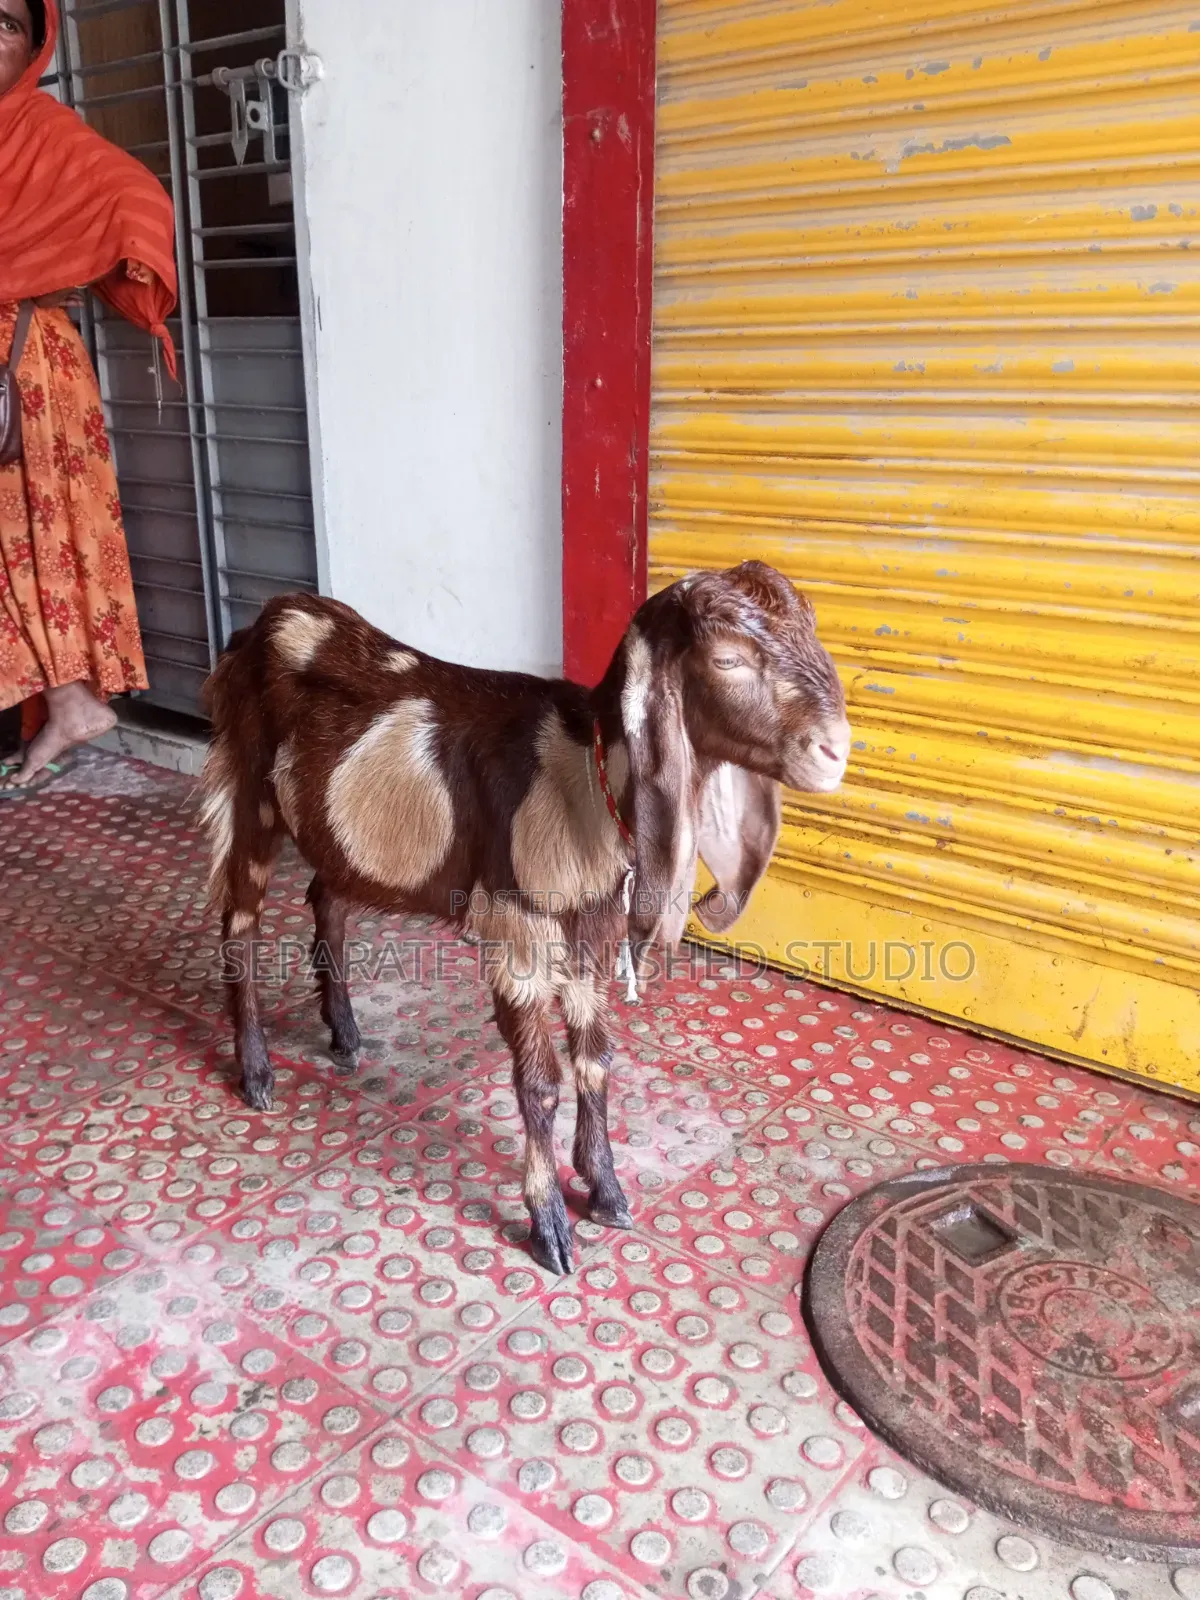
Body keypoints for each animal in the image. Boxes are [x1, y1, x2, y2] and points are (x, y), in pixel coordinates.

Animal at [199, 560, 850, 1274]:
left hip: (338, 833)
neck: (584, 774)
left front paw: (606, 1190)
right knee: (238, 924)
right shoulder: (520, 931)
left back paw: (344, 1034)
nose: (835, 750)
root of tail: (262, 625)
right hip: (250, 793)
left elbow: (596, 1059)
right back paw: (257, 1073)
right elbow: (540, 1083)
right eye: (728, 658)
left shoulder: (593, 931)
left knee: (327, 901)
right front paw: (550, 1227)